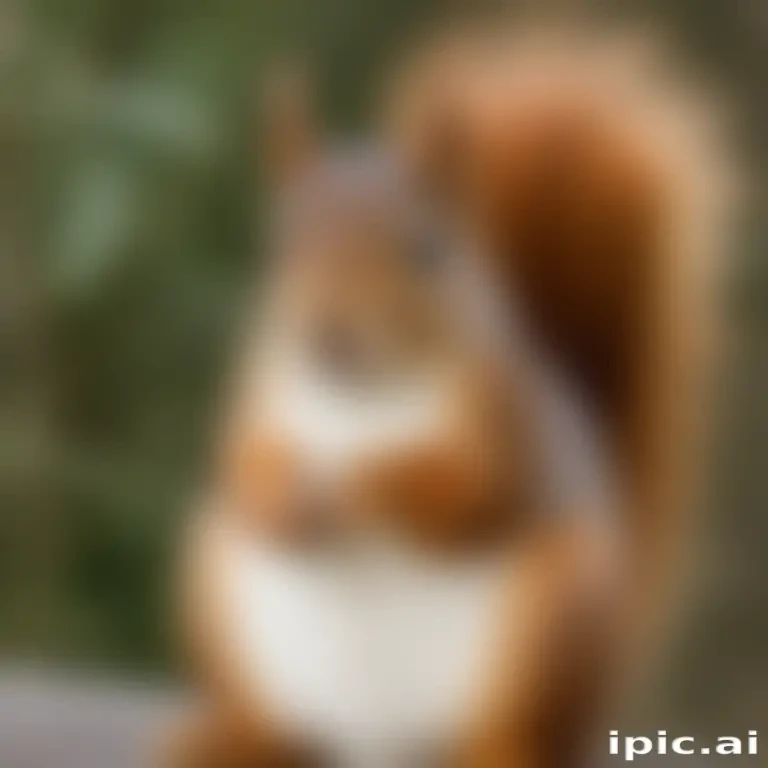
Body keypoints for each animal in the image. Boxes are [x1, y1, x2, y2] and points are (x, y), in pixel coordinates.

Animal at [165, 24, 730, 768]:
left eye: (424, 250)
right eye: (279, 247)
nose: (330, 335)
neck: (363, 400)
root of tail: (381, 743)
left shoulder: (510, 426)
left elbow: (469, 495)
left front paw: (362, 487)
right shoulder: (258, 397)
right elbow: (242, 469)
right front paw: (286, 495)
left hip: (554, 615)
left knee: (512, 727)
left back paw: (505, 749)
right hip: (220, 588)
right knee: (277, 725)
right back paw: (224, 737)